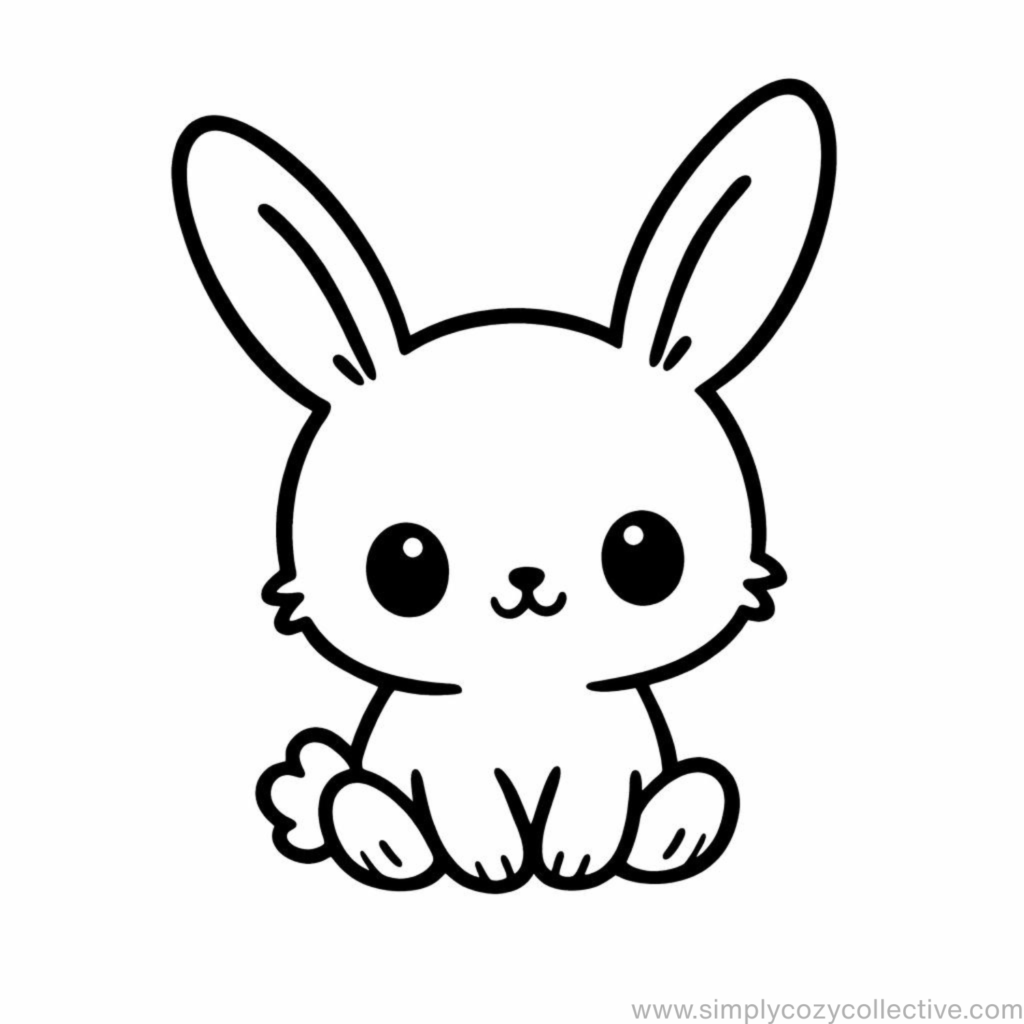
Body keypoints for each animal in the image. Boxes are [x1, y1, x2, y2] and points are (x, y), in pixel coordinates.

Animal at [172, 78, 835, 892]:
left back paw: (672, 835)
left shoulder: (603, 759)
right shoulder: (448, 765)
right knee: (350, 796)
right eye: (404, 564)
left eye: (645, 552)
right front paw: (491, 863)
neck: (524, 691)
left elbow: (593, 801)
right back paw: (386, 844)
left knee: (705, 788)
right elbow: (467, 804)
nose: (527, 581)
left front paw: (575, 860)